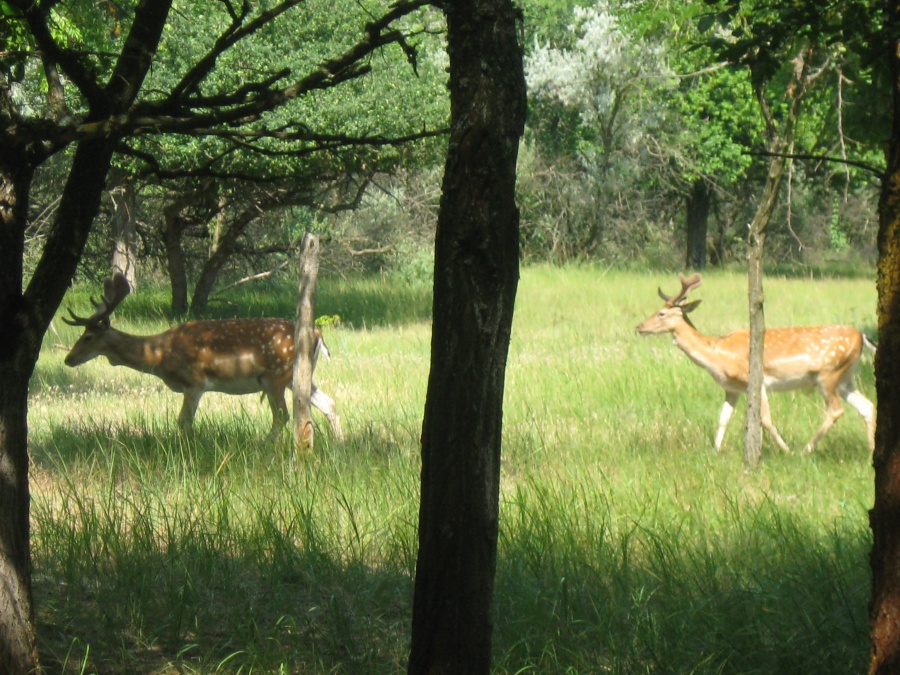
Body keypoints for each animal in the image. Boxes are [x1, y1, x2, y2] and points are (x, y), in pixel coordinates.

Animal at [60, 272, 342, 440]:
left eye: (88, 337)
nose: (68, 359)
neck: (159, 355)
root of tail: (317, 332)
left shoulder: (194, 382)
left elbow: (184, 421)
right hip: (296, 376)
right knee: (328, 403)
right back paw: (340, 442)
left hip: (274, 376)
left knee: (282, 415)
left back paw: (267, 444)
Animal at [636, 270, 876, 454]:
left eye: (661, 313)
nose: (639, 326)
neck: (718, 356)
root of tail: (861, 336)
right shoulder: (732, 388)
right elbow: (723, 418)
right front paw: (715, 450)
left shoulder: (756, 378)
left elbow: (765, 419)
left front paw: (784, 450)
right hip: (845, 377)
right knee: (867, 406)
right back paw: (870, 451)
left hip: (828, 373)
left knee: (836, 410)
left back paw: (804, 450)